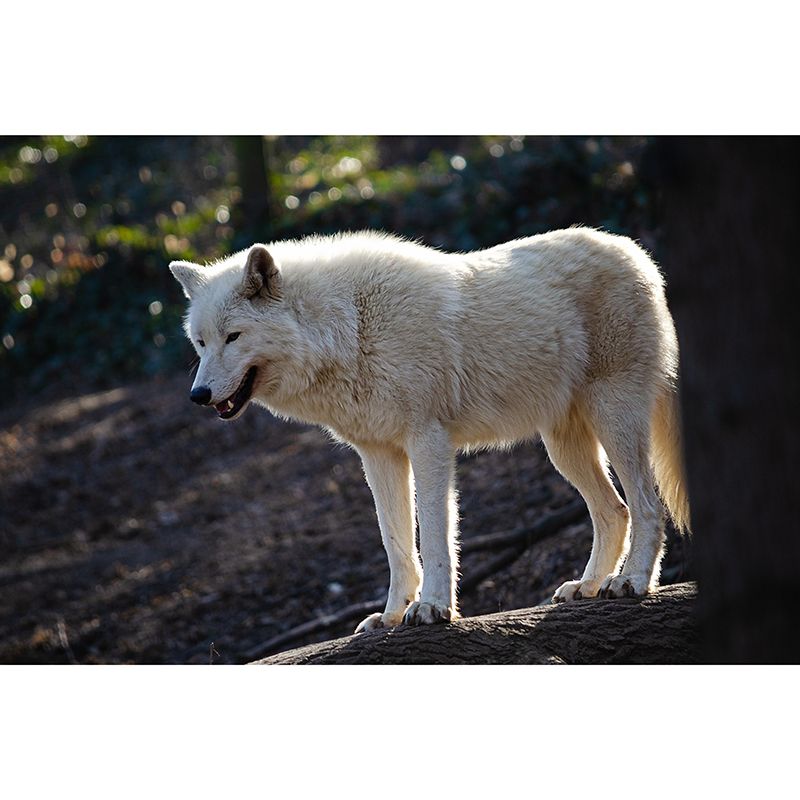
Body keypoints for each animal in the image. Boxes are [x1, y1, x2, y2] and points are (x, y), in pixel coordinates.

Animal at [169, 228, 690, 632]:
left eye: (234, 336)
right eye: (201, 342)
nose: (198, 395)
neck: (349, 327)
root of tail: (637, 253)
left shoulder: (429, 443)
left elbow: (435, 536)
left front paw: (434, 608)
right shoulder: (377, 454)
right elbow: (396, 543)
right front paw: (390, 616)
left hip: (613, 418)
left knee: (647, 505)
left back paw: (631, 582)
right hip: (563, 448)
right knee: (615, 511)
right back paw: (588, 585)